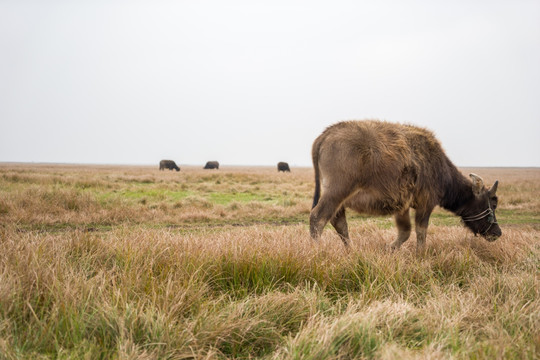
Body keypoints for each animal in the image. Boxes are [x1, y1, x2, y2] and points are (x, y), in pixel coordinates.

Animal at [310, 119, 500, 252]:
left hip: (337, 199)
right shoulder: (425, 204)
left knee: (339, 222)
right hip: (336, 193)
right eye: (492, 203)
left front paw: (389, 249)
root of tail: (325, 135)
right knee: (318, 218)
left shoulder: (402, 207)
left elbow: (405, 231)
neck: (439, 167)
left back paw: (351, 250)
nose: (497, 233)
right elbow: (421, 232)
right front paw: (420, 254)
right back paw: (317, 251)